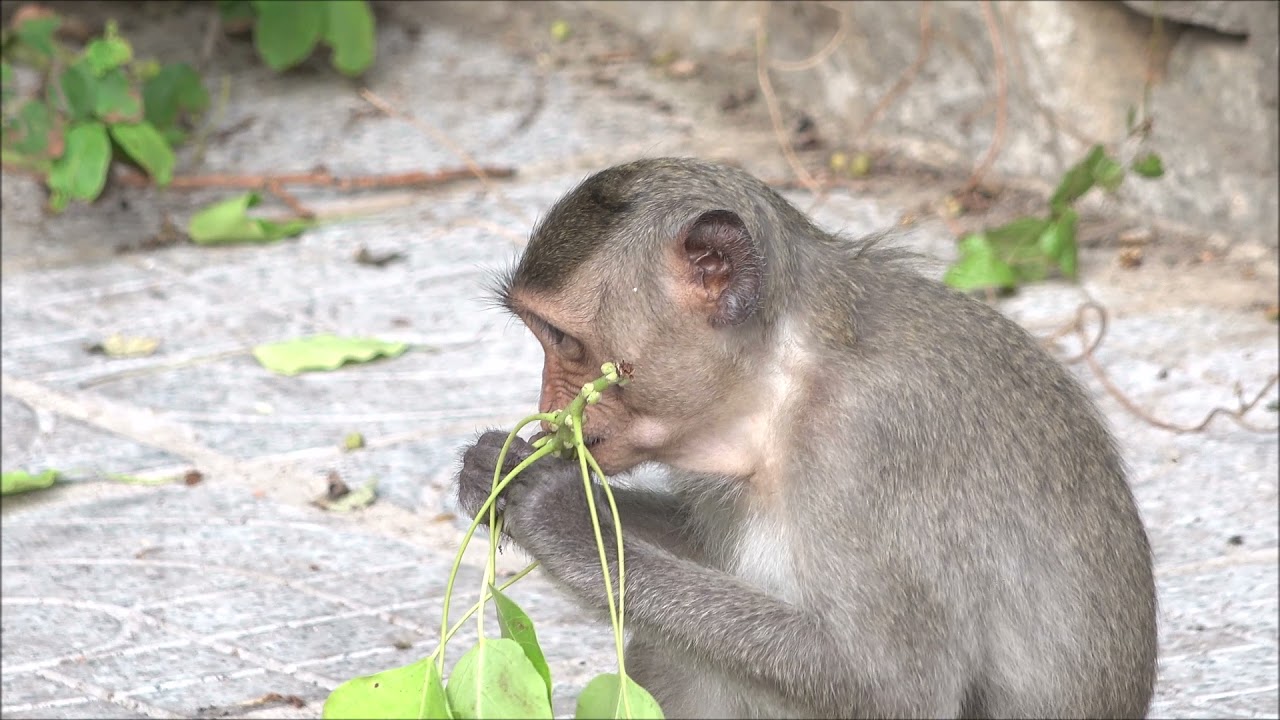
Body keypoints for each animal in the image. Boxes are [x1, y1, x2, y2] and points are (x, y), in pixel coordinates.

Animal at [455, 157, 1158, 719]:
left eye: (562, 339)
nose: (549, 412)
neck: (784, 373)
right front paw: (507, 470)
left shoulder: (869, 440)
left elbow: (894, 689)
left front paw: (562, 518)